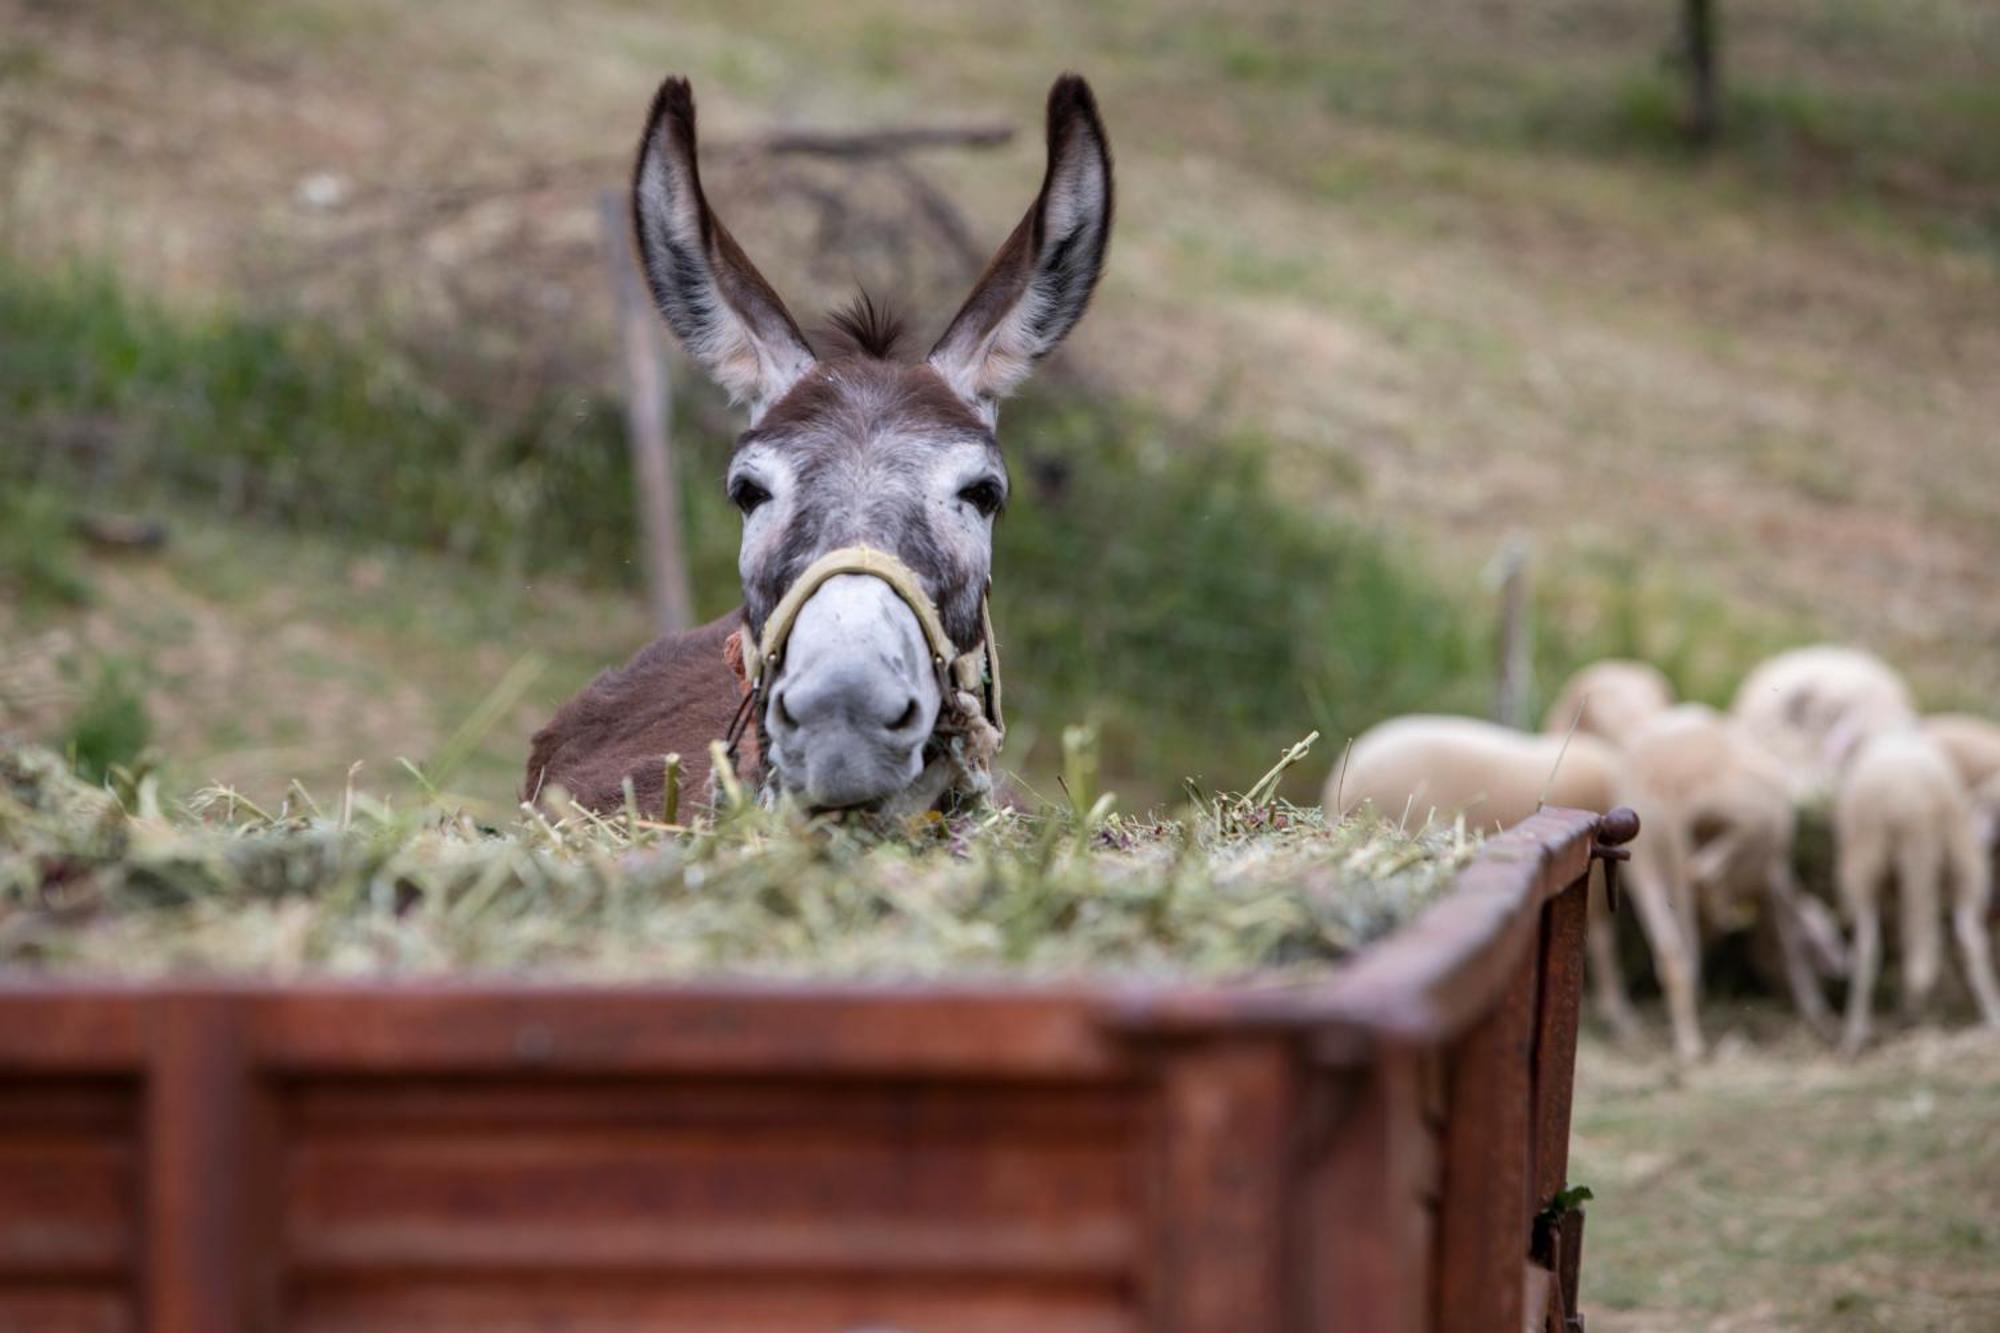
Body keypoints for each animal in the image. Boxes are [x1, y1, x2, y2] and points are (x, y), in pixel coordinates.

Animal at [1832, 720, 2000, 1056]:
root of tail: (1915, 804)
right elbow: (1905, 939)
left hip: (1865, 862)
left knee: (1867, 948)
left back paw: (1855, 1035)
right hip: (1960, 856)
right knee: (1968, 938)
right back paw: (1991, 1018)